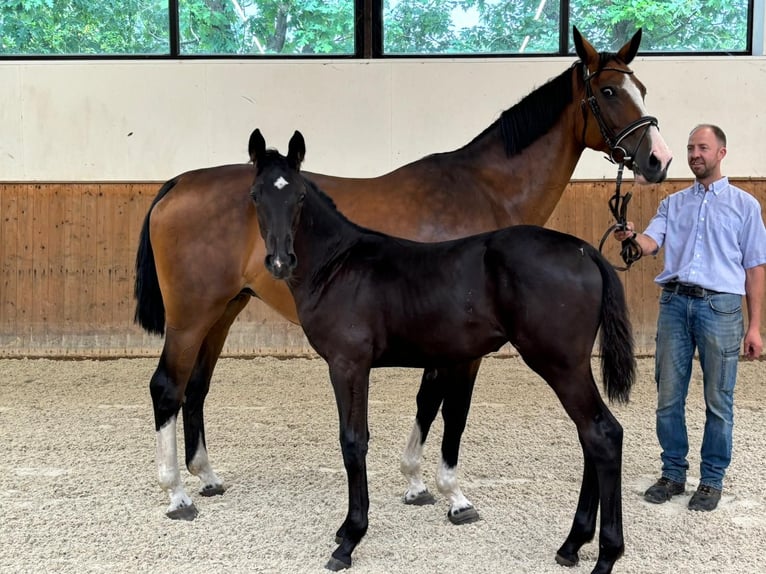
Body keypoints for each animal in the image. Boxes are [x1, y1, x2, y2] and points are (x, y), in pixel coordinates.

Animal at [134, 28, 672, 528]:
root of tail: (178, 183)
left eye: (643, 86)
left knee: (196, 387)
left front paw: (415, 482)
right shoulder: (462, 349)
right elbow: (449, 410)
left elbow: (427, 401)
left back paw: (206, 476)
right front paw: (451, 494)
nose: (659, 159)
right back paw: (176, 493)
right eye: (608, 91)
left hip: (223, 310)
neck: (483, 189)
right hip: (191, 316)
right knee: (167, 387)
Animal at [248, 130, 636, 574]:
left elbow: (354, 441)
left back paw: (605, 554)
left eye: (297, 196)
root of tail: (586, 251)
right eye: (256, 195)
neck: (339, 265)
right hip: (570, 367)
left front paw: (350, 537)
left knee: (602, 435)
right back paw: (573, 543)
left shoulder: (349, 365)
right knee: (591, 435)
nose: (280, 261)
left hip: (560, 364)